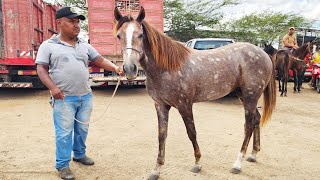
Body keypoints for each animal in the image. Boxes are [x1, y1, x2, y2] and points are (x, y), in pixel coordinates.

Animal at [114, 6, 276, 179]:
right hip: (244, 96)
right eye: (119, 35)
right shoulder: (161, 105)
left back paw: (237, 164)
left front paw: (197, 163)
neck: (167, 67)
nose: (129, 69)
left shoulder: (184, 105)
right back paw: (253, 154)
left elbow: (191, 133)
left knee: (248, 125)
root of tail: (263, 53)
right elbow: (161, 135)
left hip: (250, 96)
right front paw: (156, 169)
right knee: (256, 119)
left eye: (140, 35)